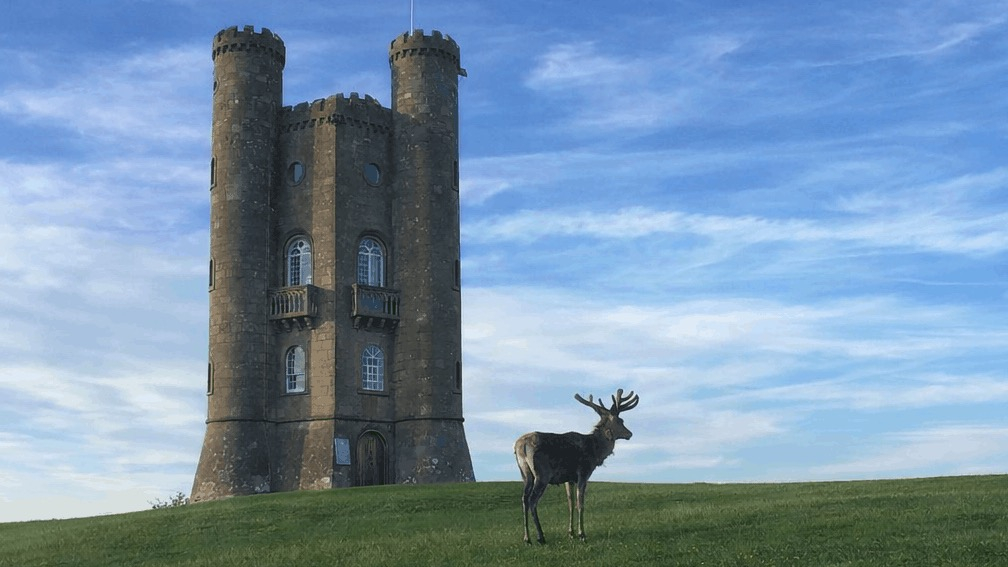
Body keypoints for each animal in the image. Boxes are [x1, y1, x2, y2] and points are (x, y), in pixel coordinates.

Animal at [513, 388, 639, 544]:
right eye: (620, 421)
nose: (629, 434)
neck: (595, 452)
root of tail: (520, 445)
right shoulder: (583, 472)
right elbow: (580, 503)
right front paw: (581, 534)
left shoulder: (569, 478)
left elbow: (570, 504)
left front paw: (571, 533)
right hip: (542, 474)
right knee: (532, 500)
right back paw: (540, 536)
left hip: (525, 473)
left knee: (524, 499)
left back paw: (527, 538)